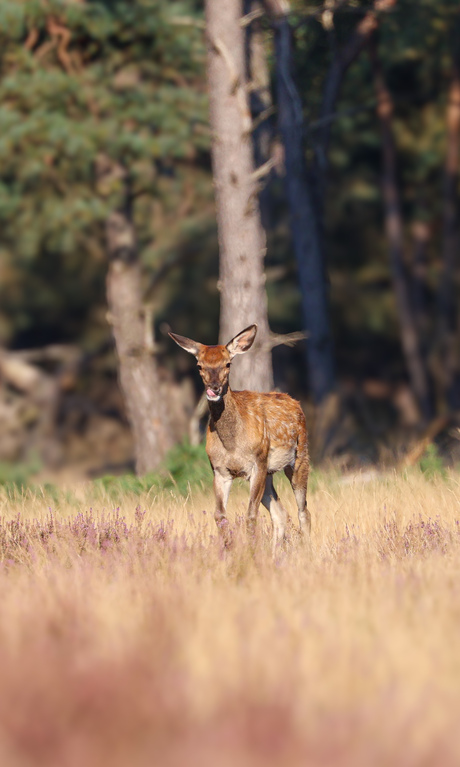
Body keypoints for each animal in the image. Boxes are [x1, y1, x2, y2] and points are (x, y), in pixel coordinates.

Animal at [167, 324, 310, 552]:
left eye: (228, 363)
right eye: (199, 366)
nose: (214, 388)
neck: (232, 444)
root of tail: (294, 401)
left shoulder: (258, 462)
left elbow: (250, 515)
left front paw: (250, 552)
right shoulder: (219, 470)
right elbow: (219, 515)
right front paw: (230, 549)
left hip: (299, 457)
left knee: (303, 510)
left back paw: (306, 550)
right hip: (269, 473)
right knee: (281, 513)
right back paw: (276, 553)